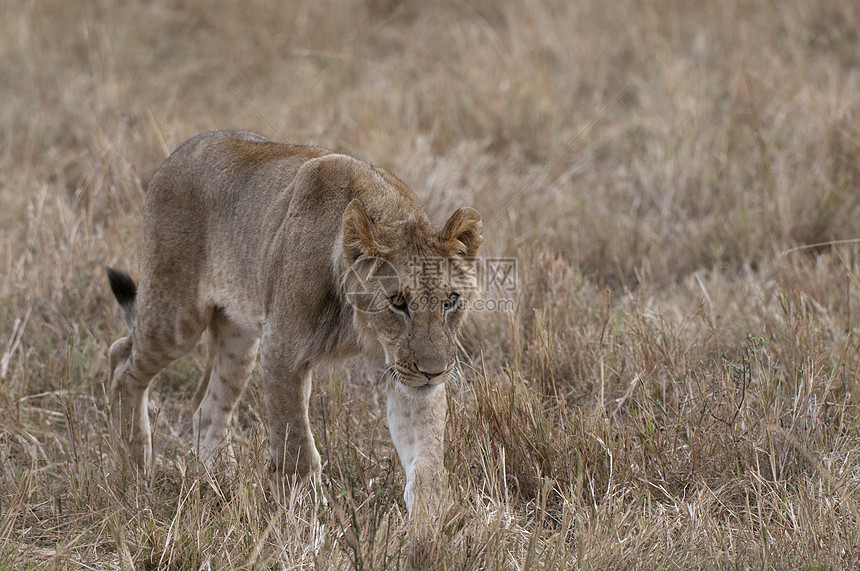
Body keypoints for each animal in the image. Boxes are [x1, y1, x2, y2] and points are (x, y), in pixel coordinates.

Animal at [106, 132, 484, 516]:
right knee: (122, 360)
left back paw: (214, 480)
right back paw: (136, 467)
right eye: (398, 302)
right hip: (175, 316)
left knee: (207, 408)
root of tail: (178, 152)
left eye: (450, 301)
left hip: (238, 337)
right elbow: (296, 443)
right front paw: (306, 514)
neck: (361, 327)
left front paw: (430, 521)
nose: (434, 373)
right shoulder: (282, 350)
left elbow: (425, 457)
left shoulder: (405, 374)